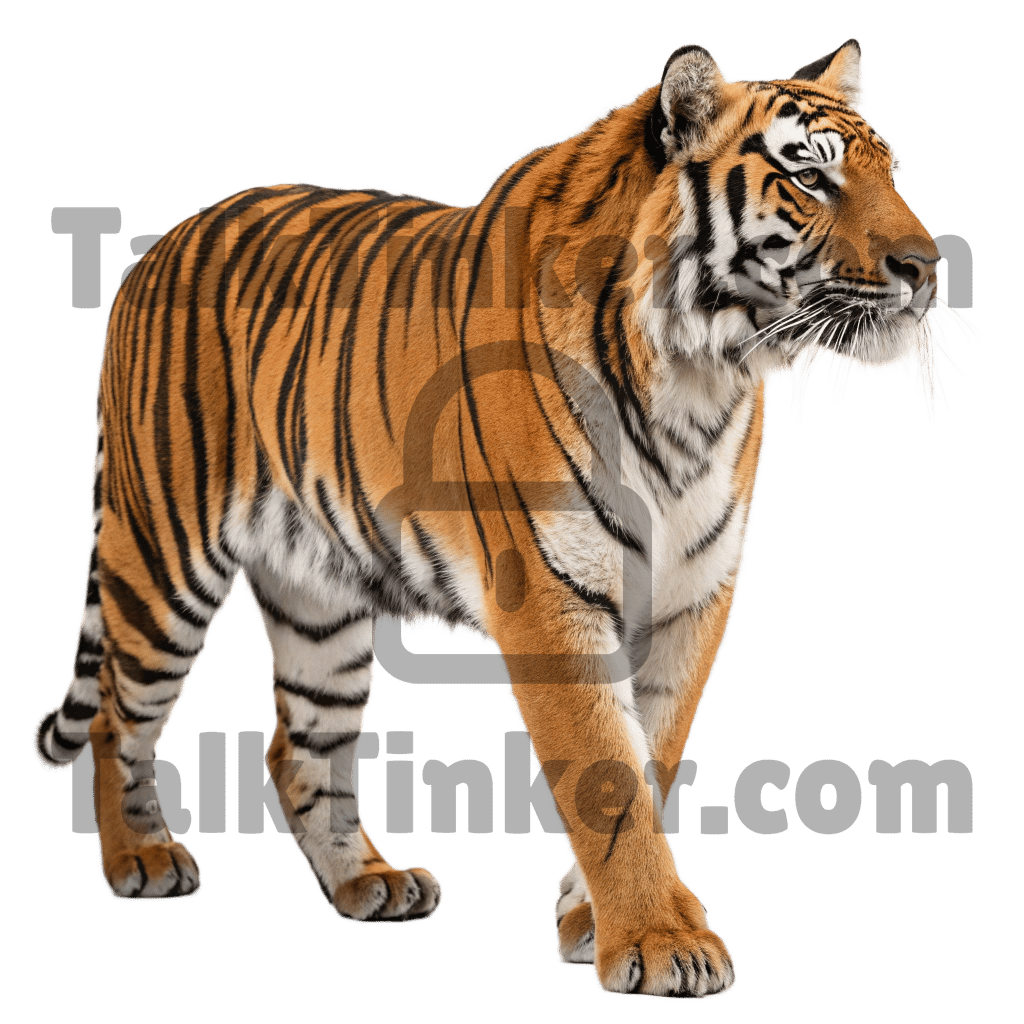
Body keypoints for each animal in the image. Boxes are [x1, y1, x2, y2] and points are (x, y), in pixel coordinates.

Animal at [31, 37, 976, 1000]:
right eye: (810, 178)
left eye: (889, 172)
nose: (927, 267)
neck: (702, 378)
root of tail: (161, 245)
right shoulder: (549, 600)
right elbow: (605, 774)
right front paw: (659, 940)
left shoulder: (694, 595)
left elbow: (653, 750)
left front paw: (593, 919)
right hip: (163, 559)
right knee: (117, 717)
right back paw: (143, 860)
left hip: (319, 597)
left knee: (298, 751)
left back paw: (371, 884)